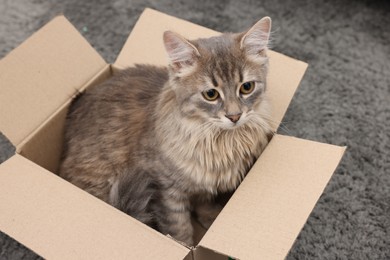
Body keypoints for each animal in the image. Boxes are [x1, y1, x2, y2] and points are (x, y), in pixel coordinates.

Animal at [59, 16, 274, 246]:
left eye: (246, 87)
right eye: (210, 94)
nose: (234, 116)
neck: (218, 141)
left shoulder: (205, 188)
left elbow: (205, 206)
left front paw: (211, 221)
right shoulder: (166, 191)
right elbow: (178, 228)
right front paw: (187, 246)